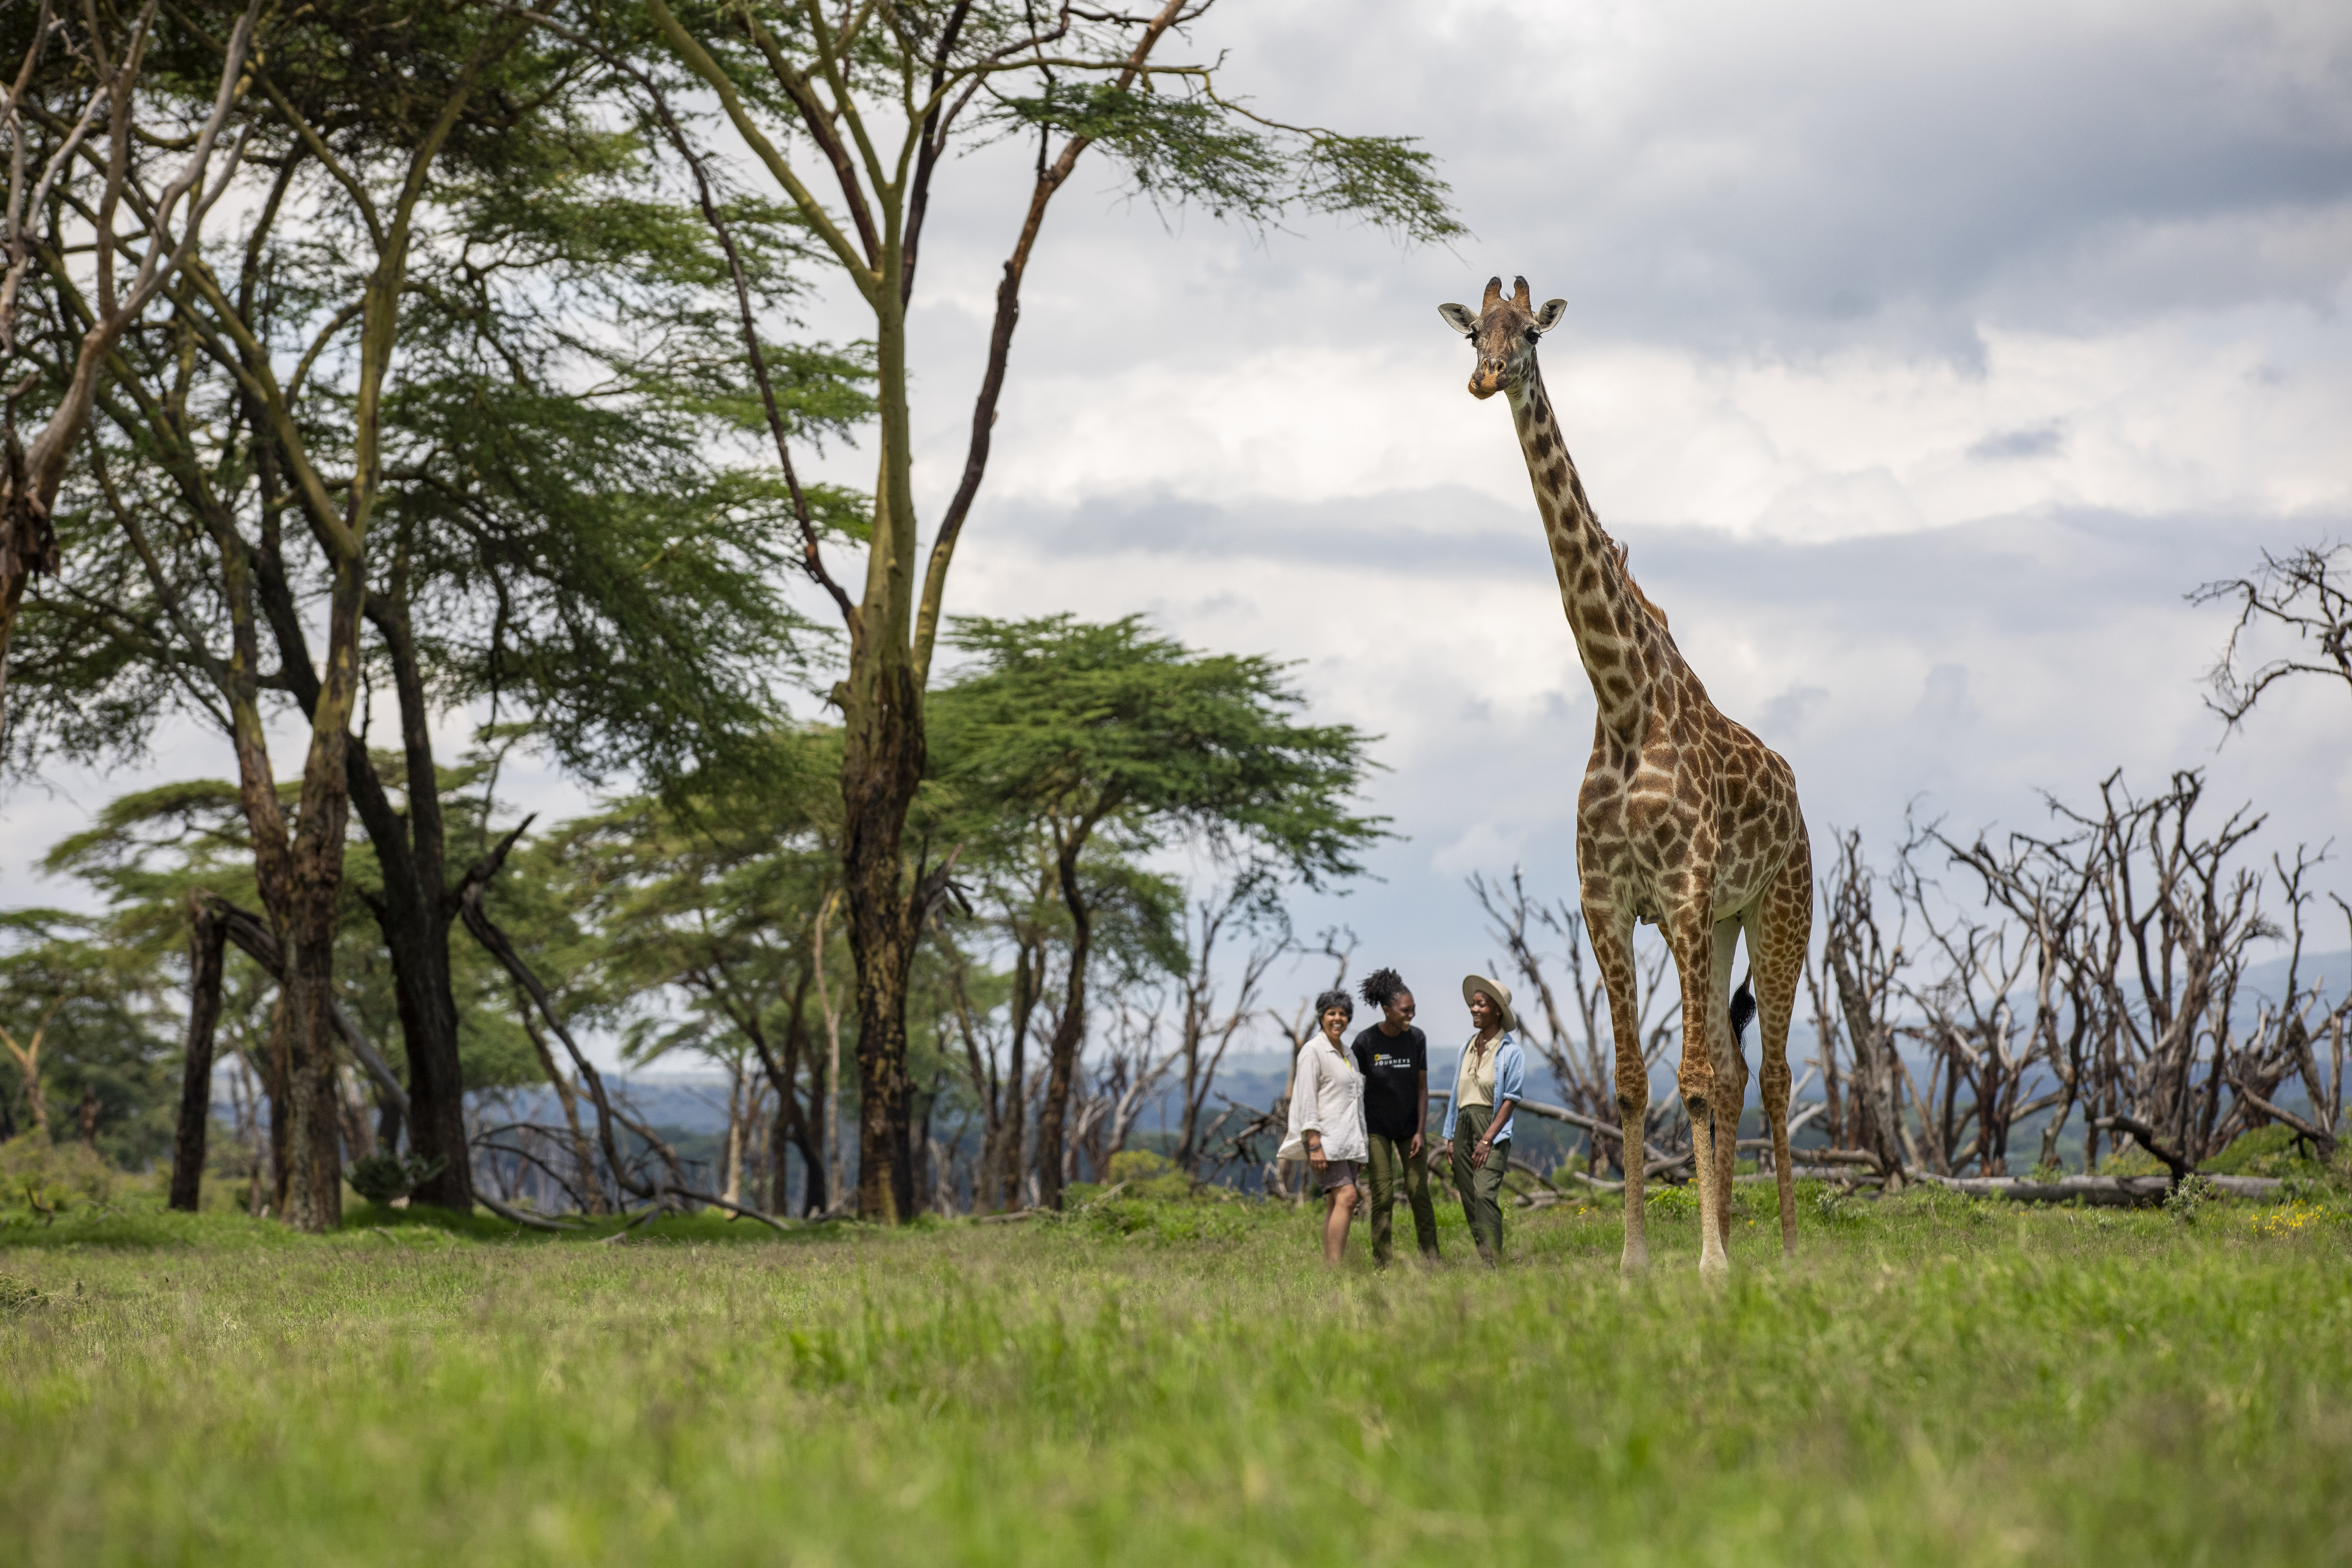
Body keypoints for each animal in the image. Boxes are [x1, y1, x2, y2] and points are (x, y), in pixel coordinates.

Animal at [1430, 273, 1815, 1279]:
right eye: (1473, 334)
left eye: (1528, 333)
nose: (1485, 379)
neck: (1623, 699)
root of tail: (1796, 795)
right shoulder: (1608, 900)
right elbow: (1639, 1083)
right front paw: (1641, 1258)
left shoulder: (1677, 892)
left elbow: (1690, 1079)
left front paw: (1711, 1263)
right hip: (1721, 921)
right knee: (1736, 1067)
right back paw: (1743, 1233)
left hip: (1780, 907)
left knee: (1772, 1071)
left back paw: (1784, 1246)